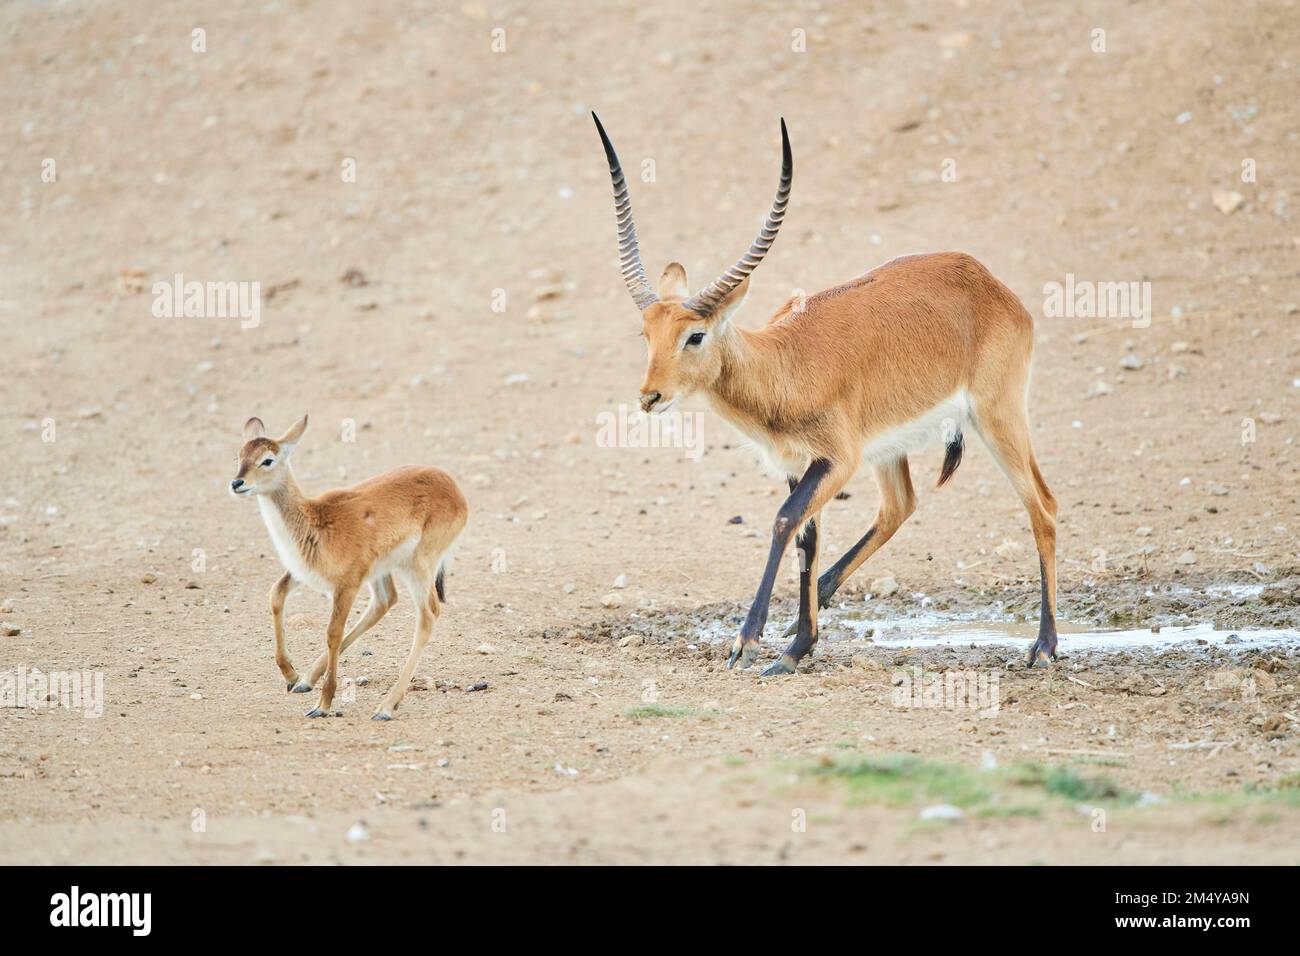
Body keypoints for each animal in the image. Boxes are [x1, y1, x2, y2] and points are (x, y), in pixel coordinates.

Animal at [228, 416, 467, 723]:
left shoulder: (347, 585)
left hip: (418, 567)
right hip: (383, 571)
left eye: (267, 460)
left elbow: (333, 632)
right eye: (240, 456)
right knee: (385, 601)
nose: (237, 483)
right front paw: (292, 675)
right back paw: (307, 680)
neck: (313, 520)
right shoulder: (304, 573)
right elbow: (276, 594)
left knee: (428, 615)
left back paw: (386, 707)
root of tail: (454, 488)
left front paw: (323, 704)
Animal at [595, 111, 1060, 676]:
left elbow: (783, 521)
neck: (783, 365)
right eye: (647, 334)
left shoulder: (837, 460)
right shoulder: (801, 464)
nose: (650, 397)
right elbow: (807, 536)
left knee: (1043, 507)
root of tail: (987, 281)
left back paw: (1044, 646)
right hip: (892, 449)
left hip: (998, 418)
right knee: (899, 506)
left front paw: (748, 641)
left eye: (695, 335)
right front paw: (797, 645)